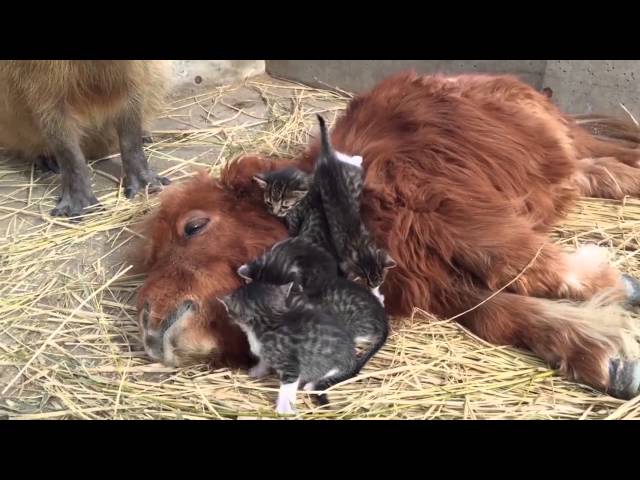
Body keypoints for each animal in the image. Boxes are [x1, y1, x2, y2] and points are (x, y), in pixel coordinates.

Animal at [219, 284, 360, 414]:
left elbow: (287, 388)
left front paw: (284, 409)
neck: (269, 321)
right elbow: (264, 360)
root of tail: (352, 353)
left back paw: (311, 384)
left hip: (333, 363)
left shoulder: (290, 365)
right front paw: (258, 370)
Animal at [314, 115, 398, 292]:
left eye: (380, 281)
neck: (364, 251)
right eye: (370, 283)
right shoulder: (346, 261)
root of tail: (329, 160)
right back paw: (357, 158)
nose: (375, 288)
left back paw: (357, 157)